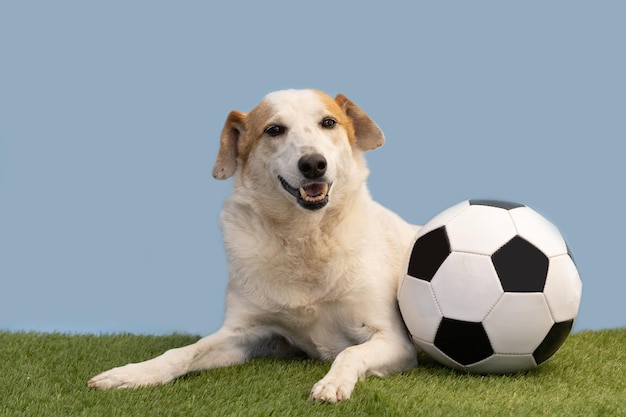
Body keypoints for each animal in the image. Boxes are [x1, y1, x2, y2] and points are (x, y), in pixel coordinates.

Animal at [86, 89, 420, 402]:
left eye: (328, 123)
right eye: (274, 130)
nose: (313, 164)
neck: (305, 238)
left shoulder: (394, 340)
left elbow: (350, 353)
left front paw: (332, 382)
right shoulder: (243, 334)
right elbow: (184, 352)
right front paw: (134, 373)